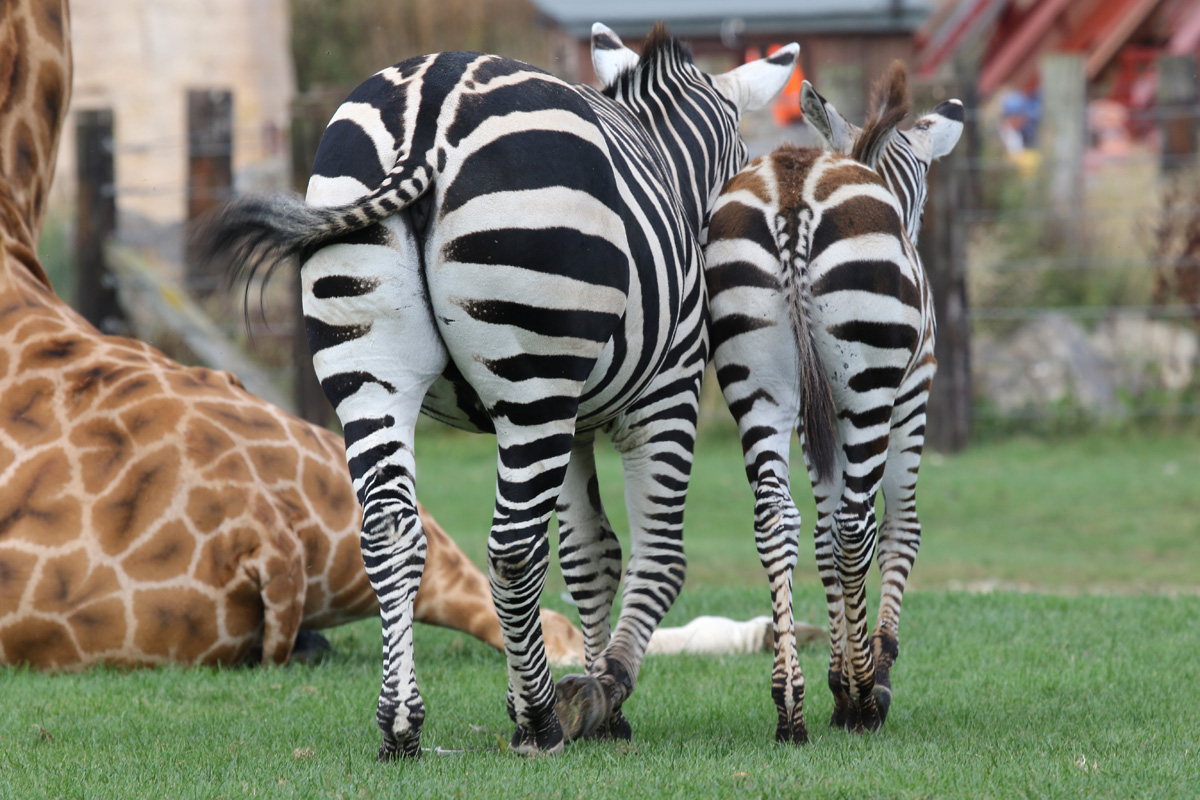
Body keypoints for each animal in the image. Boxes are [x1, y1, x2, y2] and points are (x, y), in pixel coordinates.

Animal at [194, 23, 797, 759]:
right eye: (742, 164)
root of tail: (429, 113)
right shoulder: (664, 394)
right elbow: (654, 557)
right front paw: (598, 694)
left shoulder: (571, 420)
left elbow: (588, 554)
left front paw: (571, 696)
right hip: (534, 376)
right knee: (511, 547)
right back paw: (540, 722)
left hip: (372, 369)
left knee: (391, 528)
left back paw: (402, 724)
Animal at [704, 63, 962, 743]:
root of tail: (793, 187)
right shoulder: (913, 396)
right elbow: (898, 529)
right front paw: (869, 675)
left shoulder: (808, 419)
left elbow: (818, 537)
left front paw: (834, 679)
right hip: (868, 387)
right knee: (855, 523)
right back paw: (866, 697)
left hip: (757, 382)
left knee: (777, 518)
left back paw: (789, 707)